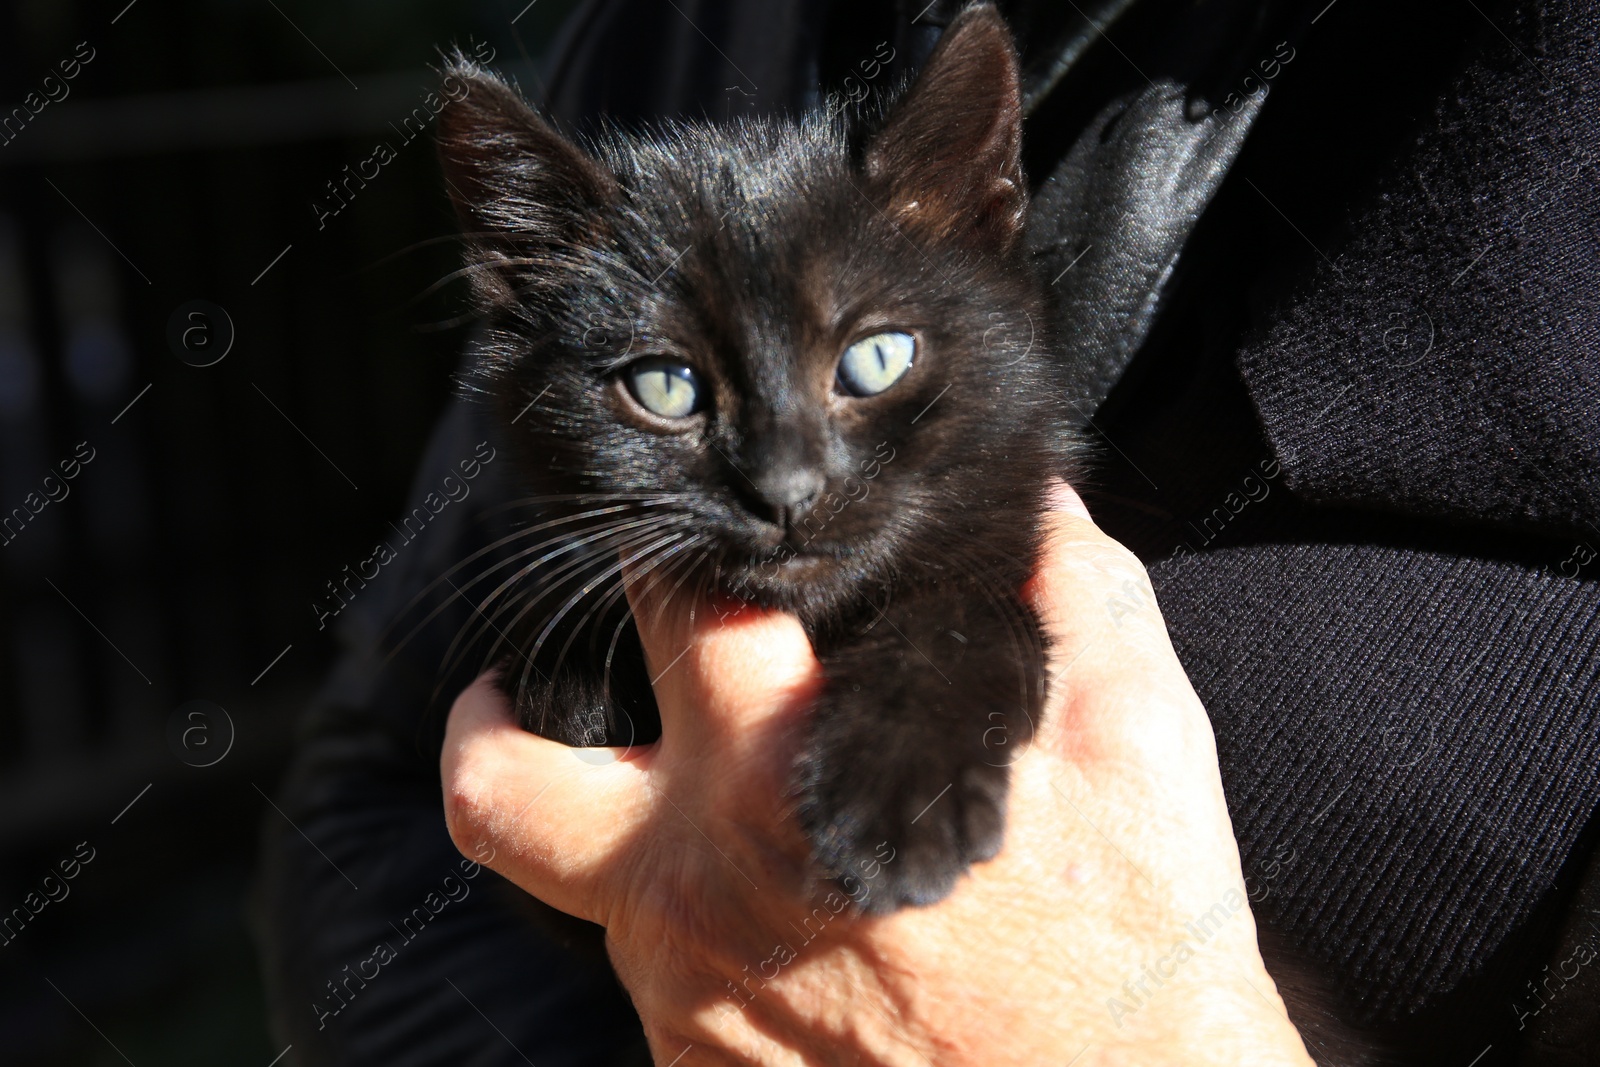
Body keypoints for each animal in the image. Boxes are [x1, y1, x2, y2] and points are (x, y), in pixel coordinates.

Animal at [438, 6, 1075, 908]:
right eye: (666, 386)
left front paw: (898, 795)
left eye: (877, 359)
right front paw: (572, 674)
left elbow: (960, 621)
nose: (787, 491)